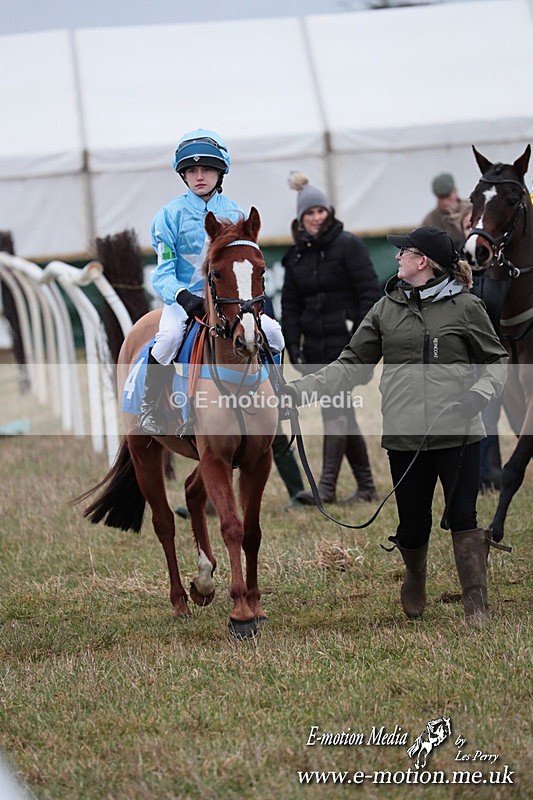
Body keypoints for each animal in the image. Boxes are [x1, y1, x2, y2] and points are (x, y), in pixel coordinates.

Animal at [75, 208, 278, 639]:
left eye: (261, 269)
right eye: (215, 273)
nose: (247, 339)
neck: (237, 380)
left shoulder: (256, 459)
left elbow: (252, 530)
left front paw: (254, 603)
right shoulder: (217, 459)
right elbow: (232, 526)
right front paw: (240, 612)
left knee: (190, 490)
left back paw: (203, 581)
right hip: (145, 452)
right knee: (164, 521)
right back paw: (181, 601)